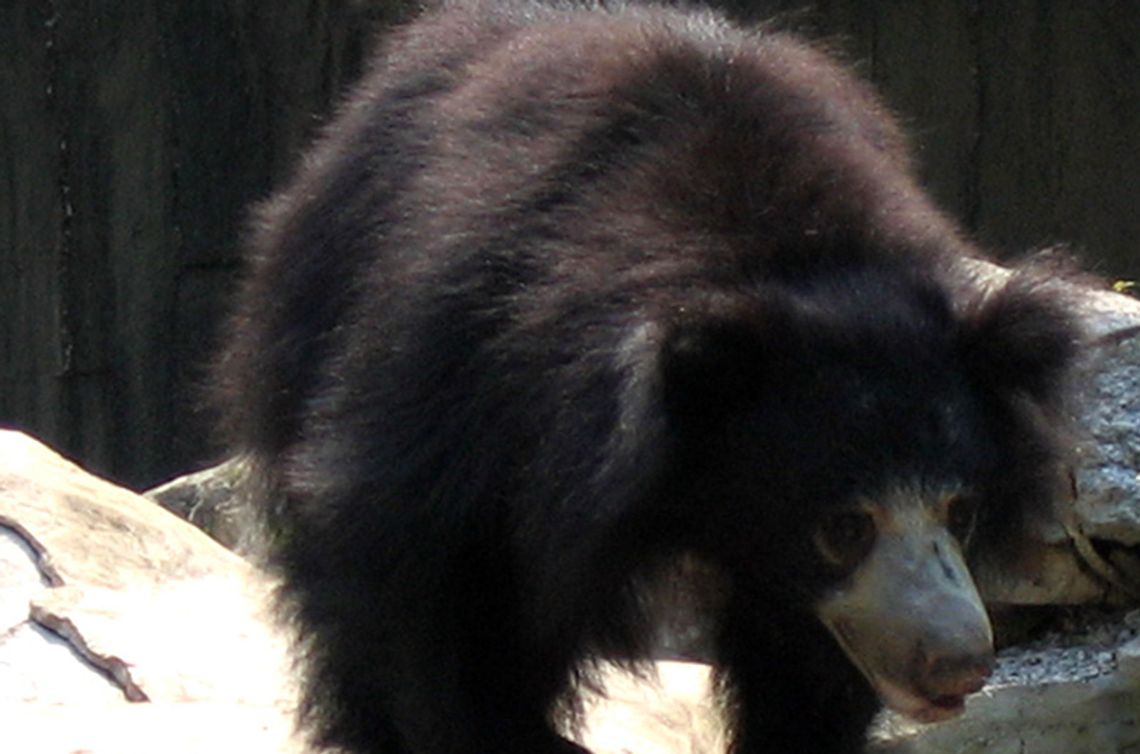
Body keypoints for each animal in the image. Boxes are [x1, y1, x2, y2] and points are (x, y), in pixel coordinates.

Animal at [215, 1, 1085, 752]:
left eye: (962, 510)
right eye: (844, 526)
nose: (958, 662)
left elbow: (804, 669)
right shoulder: (456, 381)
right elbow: (425, 580)